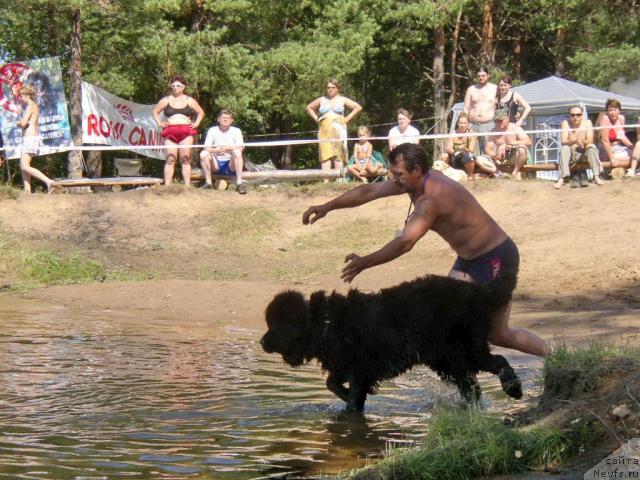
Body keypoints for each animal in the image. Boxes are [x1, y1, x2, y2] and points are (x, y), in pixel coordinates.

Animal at [262, 274, 524, 412]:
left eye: (274, 325)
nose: (262, 341)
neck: (325, 323)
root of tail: (479, 291)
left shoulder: (359, 370)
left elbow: (351, 395)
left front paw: (351, 407)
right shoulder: (345, 366)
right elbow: (331, 383)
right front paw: (348, 397)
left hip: (465, 349)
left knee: (498, 361)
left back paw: (513, 388)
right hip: (449, 360)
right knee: (472, 386)